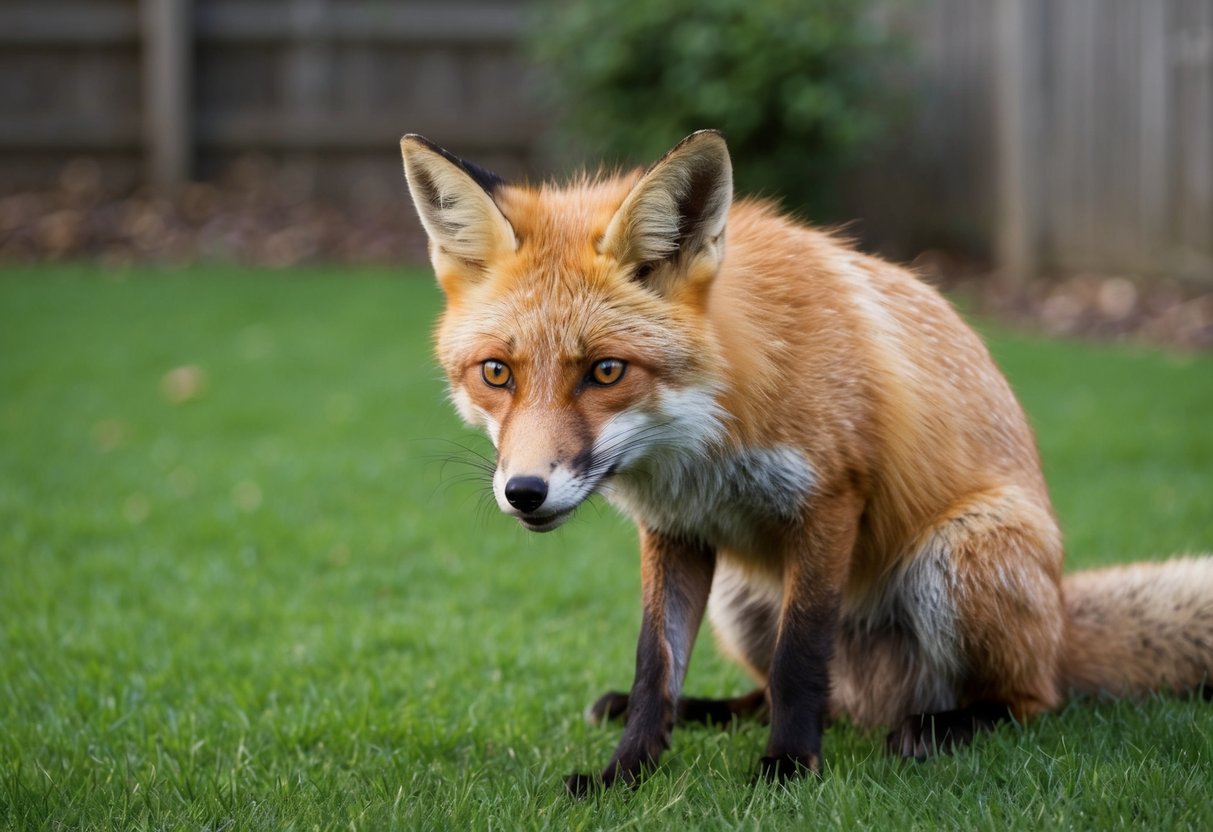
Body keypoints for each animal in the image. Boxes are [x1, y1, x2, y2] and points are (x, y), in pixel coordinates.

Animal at [399, 130, 1213, 794]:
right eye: (496, 373)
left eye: (605, 371)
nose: (524, 491)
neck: (701, 442)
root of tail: (1063, 622)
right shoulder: (674, 530)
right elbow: (655, 668)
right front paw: (624, 774)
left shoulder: (830, 502)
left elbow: (801, 656)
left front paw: (789, 767)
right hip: (741, 596)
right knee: (781, 693)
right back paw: (714, 711)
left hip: (960, 556)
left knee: (1030, 700)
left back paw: (936, 729)